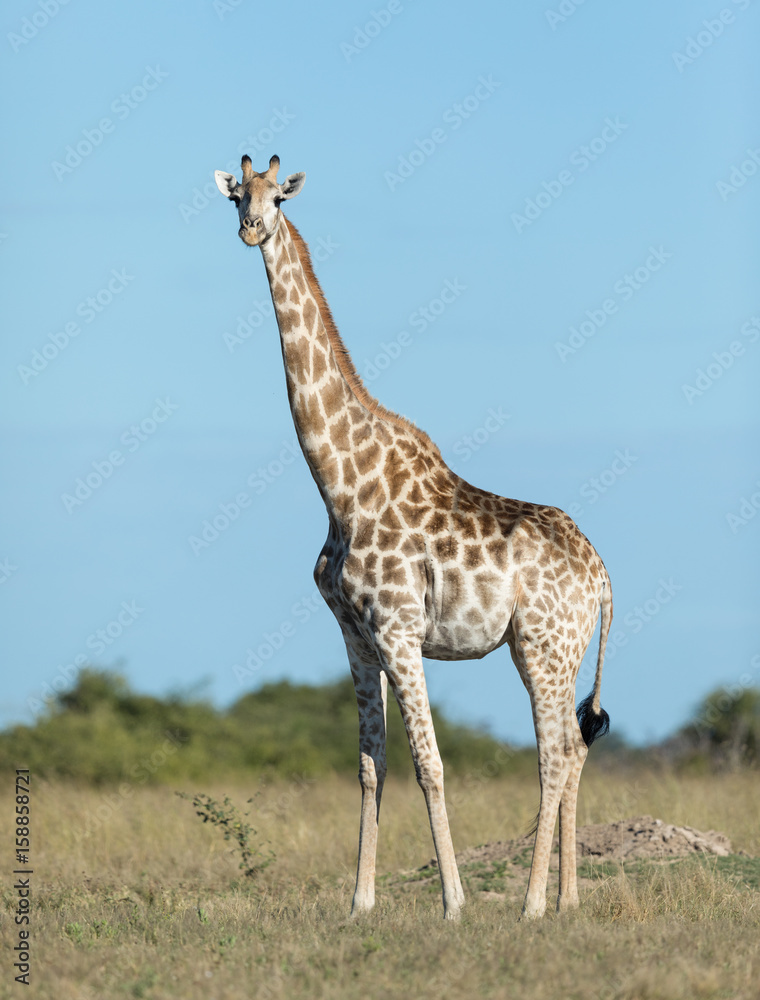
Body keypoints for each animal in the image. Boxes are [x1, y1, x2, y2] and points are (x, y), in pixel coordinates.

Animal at [214, 154, 612, 920]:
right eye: (234, 196)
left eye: (278, 197)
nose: (251, 229)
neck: (340, 486)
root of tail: (604, 578)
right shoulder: (355, 633)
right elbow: (372, 766)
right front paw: (360, 903)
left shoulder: (399, 628)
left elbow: (430, 764)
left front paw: (453, 902)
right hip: (551, 650)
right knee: (574, 750)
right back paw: (570, 901)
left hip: (543, 646)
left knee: (554, 754)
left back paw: (531, 905)